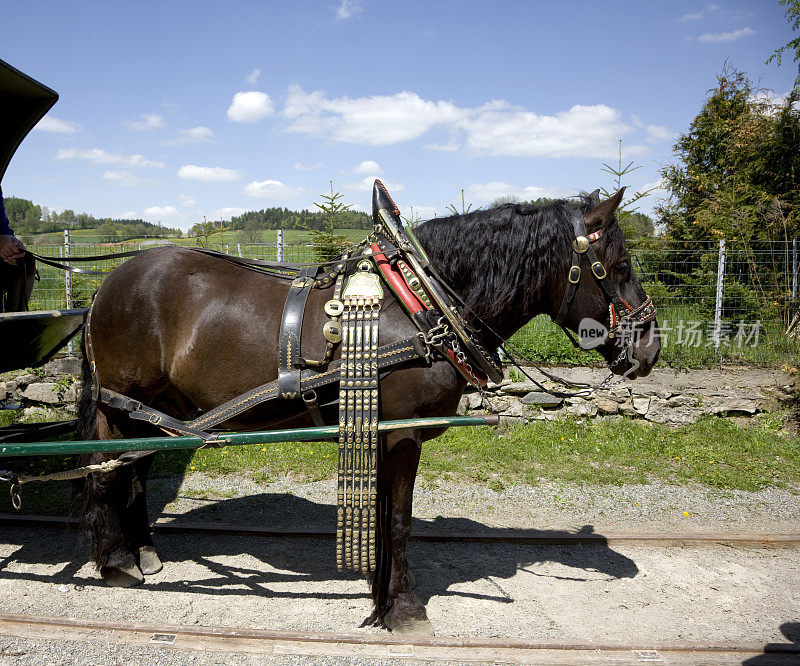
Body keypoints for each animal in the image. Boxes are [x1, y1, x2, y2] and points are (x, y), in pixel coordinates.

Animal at [78, 187, 660, 632]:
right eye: (620, 266)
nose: (651, 348)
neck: (421, 304)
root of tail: (109, 282)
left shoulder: (381, 429)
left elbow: (382, 517)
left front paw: (381, 598)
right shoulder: (402, 432)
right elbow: (398, 521)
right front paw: (403, 608)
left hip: (159, 406)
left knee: (135, 469)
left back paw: (143, 551)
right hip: (122, 402)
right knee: (107, 469)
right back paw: (115, 562)